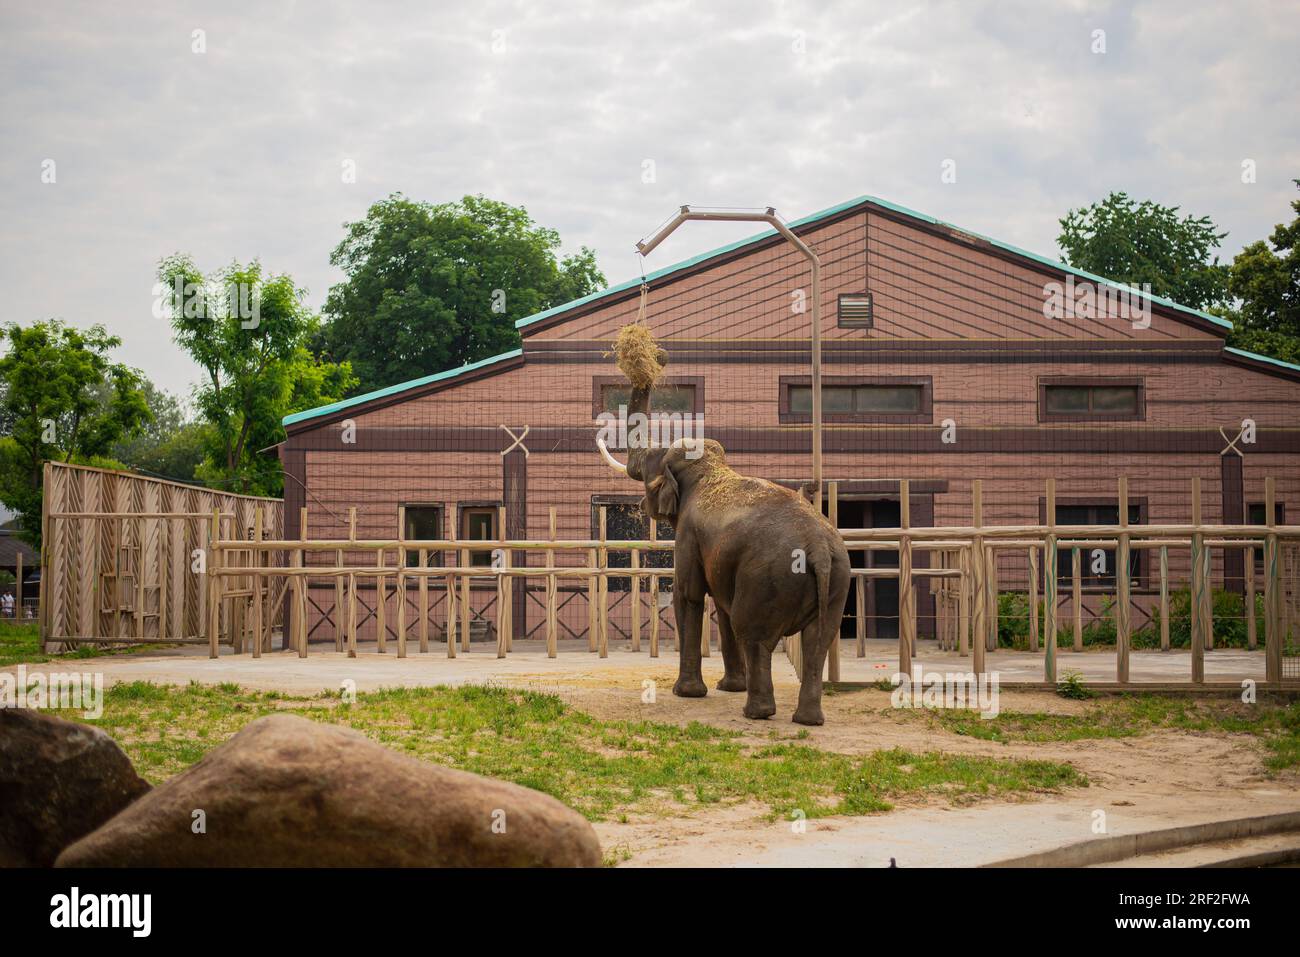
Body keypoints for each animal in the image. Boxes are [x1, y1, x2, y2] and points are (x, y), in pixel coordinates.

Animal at [597, 380, 851, 725]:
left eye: (649, 458)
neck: (709, 469)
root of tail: (818, 548)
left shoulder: (688, 534)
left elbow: (689, 595)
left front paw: (687, 693)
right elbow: (720, 604)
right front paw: (729, 687)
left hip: (766, 580)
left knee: (755, 635)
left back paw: (756, 712)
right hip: (838, 578)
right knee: (817, 641)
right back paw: (807, 720)